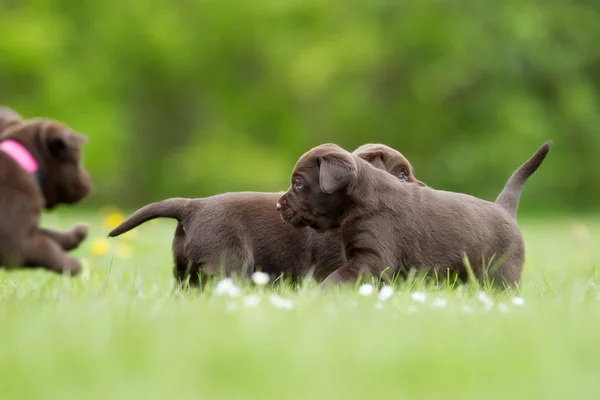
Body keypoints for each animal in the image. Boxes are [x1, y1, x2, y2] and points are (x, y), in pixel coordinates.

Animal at [0, 119, 92, 276]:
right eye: (77, 159)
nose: (89, 182)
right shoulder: (15, 241)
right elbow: (47, 246)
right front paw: (71, 264)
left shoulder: (27, 228)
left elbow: (47, 233)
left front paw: (75, 236)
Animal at [276, 141, 548, 288]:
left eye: (298, 183)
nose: (278, 206)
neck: (360, 198)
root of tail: (503, 208)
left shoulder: (372, 258)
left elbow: (336, 278)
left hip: (501, 272)